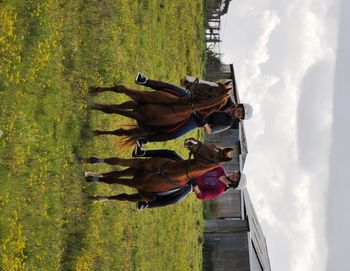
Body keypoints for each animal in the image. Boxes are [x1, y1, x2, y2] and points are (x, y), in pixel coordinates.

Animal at [79, 138, 232, 204]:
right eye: (210, 145)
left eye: (212, 156)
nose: (191, 142)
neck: (166, 172)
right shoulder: (138, 164)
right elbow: (113, 162)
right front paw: (85, 161)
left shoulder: (137, 183)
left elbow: (111, 180)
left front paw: (92, 178)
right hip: (135, 172)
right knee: (115, 174)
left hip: (142, 193)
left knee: (122, 195)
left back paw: (96, 196)